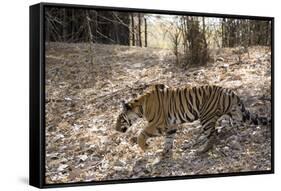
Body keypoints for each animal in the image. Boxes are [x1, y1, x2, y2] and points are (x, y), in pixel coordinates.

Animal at [114, 84, 270, 156]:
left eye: (120, 119)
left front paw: (145, 147)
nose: (115, 129)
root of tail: (230, 92)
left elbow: (142, 133)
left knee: (212, 135)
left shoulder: (159, 123)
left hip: (206, 117)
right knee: (239, 124)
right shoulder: (171, 125)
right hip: (237, 114)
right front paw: (165, 153)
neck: (140, 108)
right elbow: (169, 139)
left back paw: (202, 150)